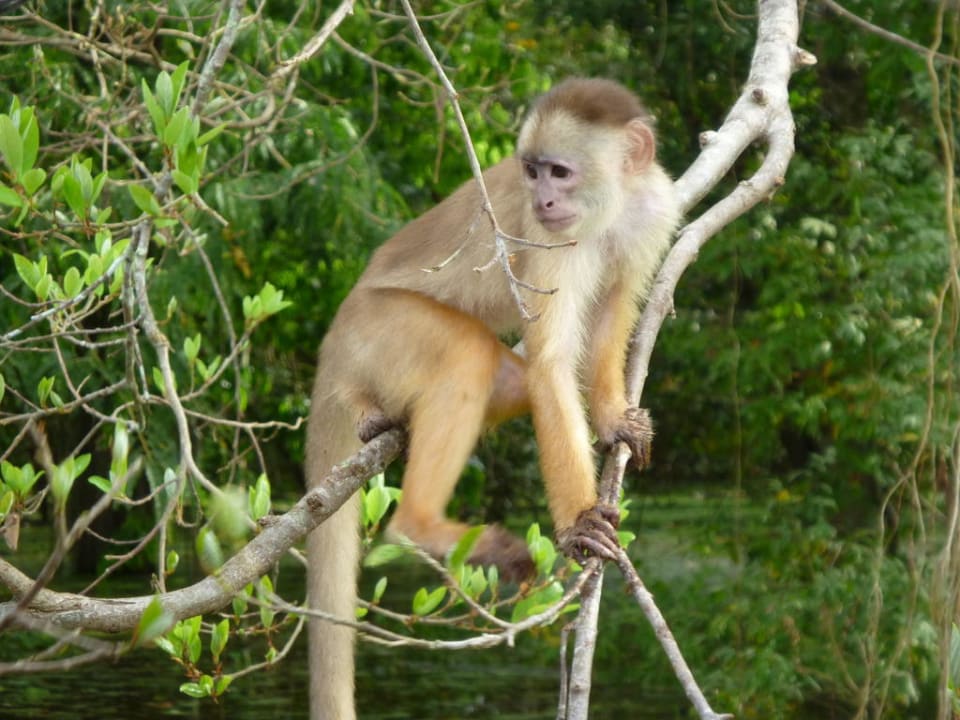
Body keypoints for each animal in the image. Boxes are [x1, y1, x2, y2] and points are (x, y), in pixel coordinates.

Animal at [305, 78, 680, 720]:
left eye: (559, 172)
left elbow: (612, 312)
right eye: (532, 173)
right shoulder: (549, 240)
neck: (610, 207)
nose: (544, 200)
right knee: (467, 357)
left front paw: (612, 420)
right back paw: (419, 525)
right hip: (375, 332)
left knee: (506, 379)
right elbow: (553, 363)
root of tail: (333, 345)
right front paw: (579, 524)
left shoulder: (653, 210)